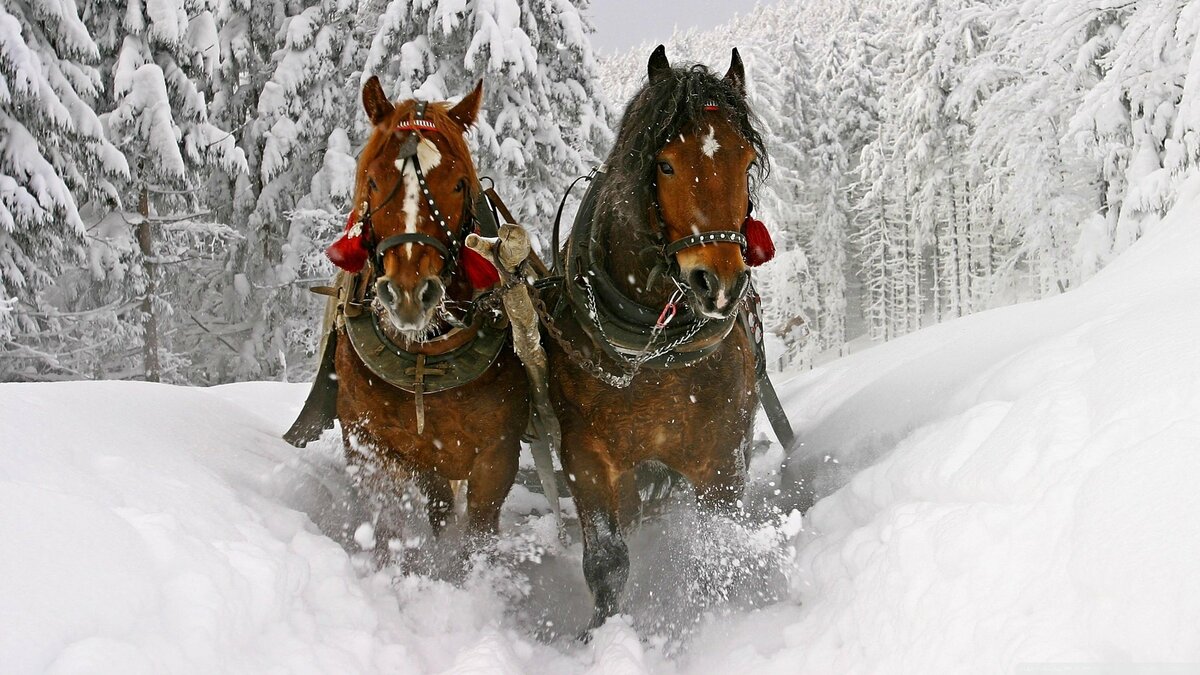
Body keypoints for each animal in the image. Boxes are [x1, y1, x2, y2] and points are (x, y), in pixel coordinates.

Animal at [330, 77, 529, 567]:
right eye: (374, 179)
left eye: (458, 184)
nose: (408, 294)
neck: (425, 356)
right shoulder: (369, 444)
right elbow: (385, 524)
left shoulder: (497, 453)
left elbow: (479, 533)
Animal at [544, 46, 769, 632]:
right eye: (665, 164)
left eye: (746, 163)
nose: (720, 283)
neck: (653, 352)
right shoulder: (585, 456)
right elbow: (606, 561)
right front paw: (601, 634)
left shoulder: (722, 457)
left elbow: (718, 547)